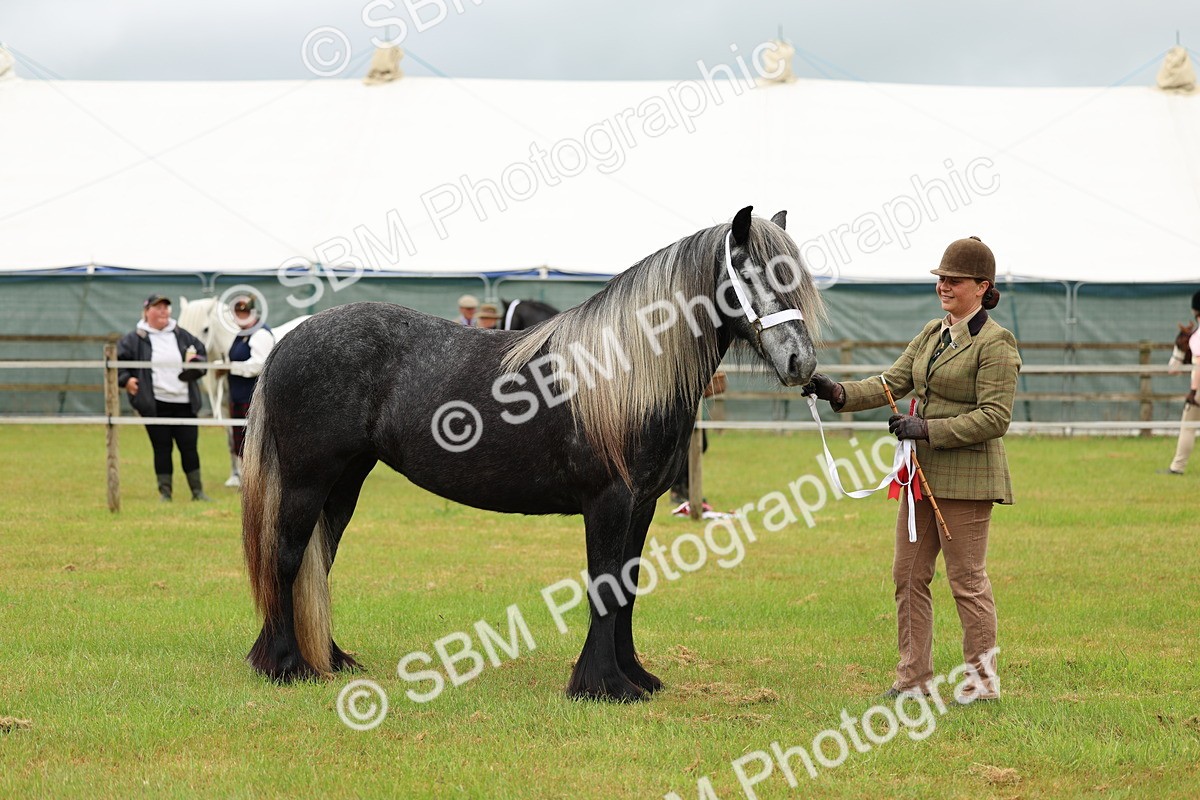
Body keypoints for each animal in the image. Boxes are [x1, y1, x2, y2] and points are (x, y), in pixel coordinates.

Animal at [241, 206, 825, 701]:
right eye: (748, 273)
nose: (801, 363)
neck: (621, 374)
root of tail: (290, 340)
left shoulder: (642, 506)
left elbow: (629, 589)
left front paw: (635, 677)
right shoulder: (608, 502)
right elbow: (606, 587)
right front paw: (602, 685)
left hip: (345, 481)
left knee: (320, 559)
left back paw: (330, 659)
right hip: (308, 480)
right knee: (287, 557)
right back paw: (286, 666)